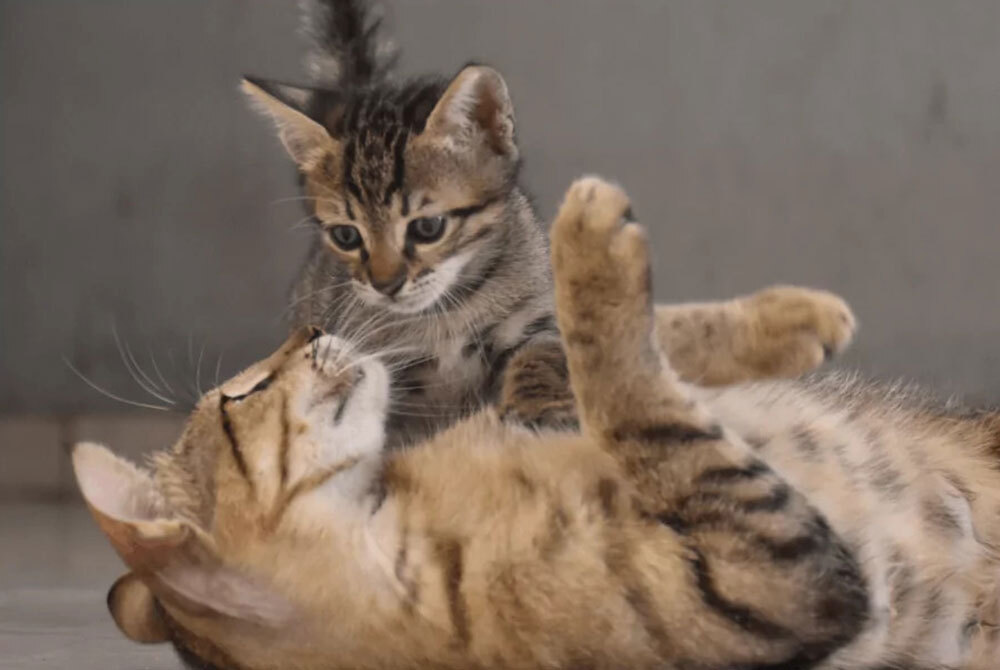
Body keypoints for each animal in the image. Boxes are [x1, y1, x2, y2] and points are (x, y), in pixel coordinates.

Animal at [76, 177, 1000, 670]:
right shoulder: (778, 576)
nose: (307, 330)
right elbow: (635, 405)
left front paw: (792, 320)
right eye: (241, 395)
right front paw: (586, 237)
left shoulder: (527, 406)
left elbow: (586, 355)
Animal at [246, 1, 856, 452]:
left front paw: (536, 405)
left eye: (428, 227)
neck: (448, 314)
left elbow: (542, 352)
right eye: (347, 236)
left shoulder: (540, 314)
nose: (385, 284)